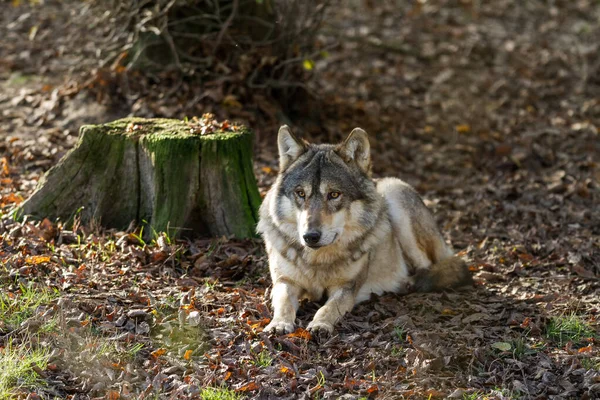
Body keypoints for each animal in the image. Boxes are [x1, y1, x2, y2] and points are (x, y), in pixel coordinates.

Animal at [258, 126, 474, 334]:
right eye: (300, 193)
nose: (310, 236)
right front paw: (278, 324)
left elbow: (328, 308)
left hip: (394, 192)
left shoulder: (346, 287)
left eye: (334, 194)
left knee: (428, 267)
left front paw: (320, 325)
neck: (317, 261)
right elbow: (284, 304)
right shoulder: (284, 281)